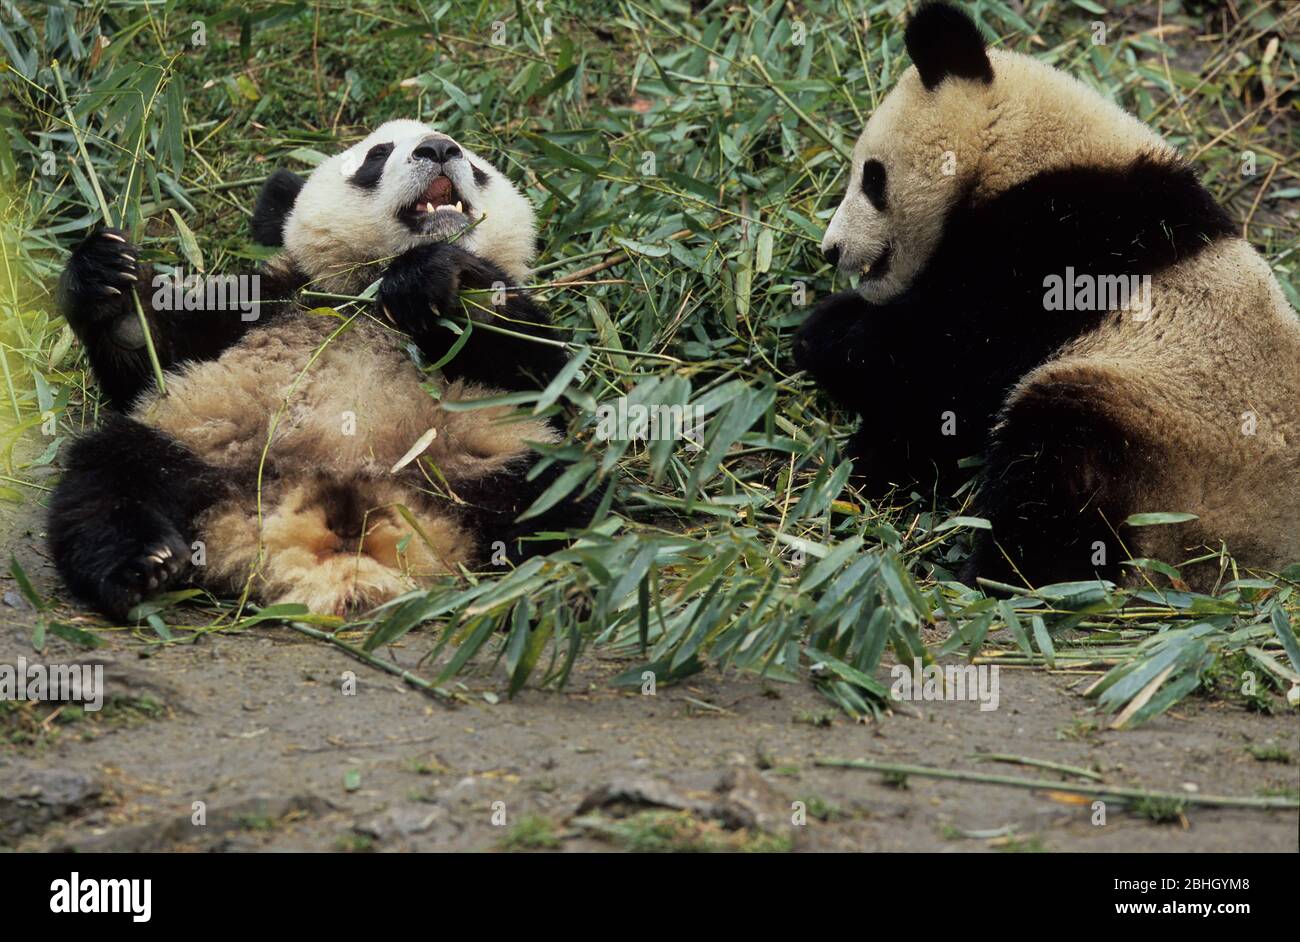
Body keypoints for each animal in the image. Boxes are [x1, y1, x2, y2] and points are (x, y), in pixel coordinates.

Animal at [50, 119, 593, 619]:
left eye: (474, 164)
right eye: (377, 155)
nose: (440, 149)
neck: (366, 295)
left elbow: (543, 376)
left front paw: (439, 277)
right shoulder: (270, 301)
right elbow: (150, 365)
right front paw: (111, 286)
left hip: (484, 461)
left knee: (563, 495)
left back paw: (556, 583)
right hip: (196, 442)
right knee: (108, 478)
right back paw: (145, 563)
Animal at [794, 2, 1300, 590]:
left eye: (872, 178)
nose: (831, 249)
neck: (1026, 147)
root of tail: (1254, 564)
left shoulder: (1062, 241)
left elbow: (947, 357)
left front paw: (827, 338)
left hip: (1163, 438)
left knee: (1057, 476)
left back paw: (996, 574)